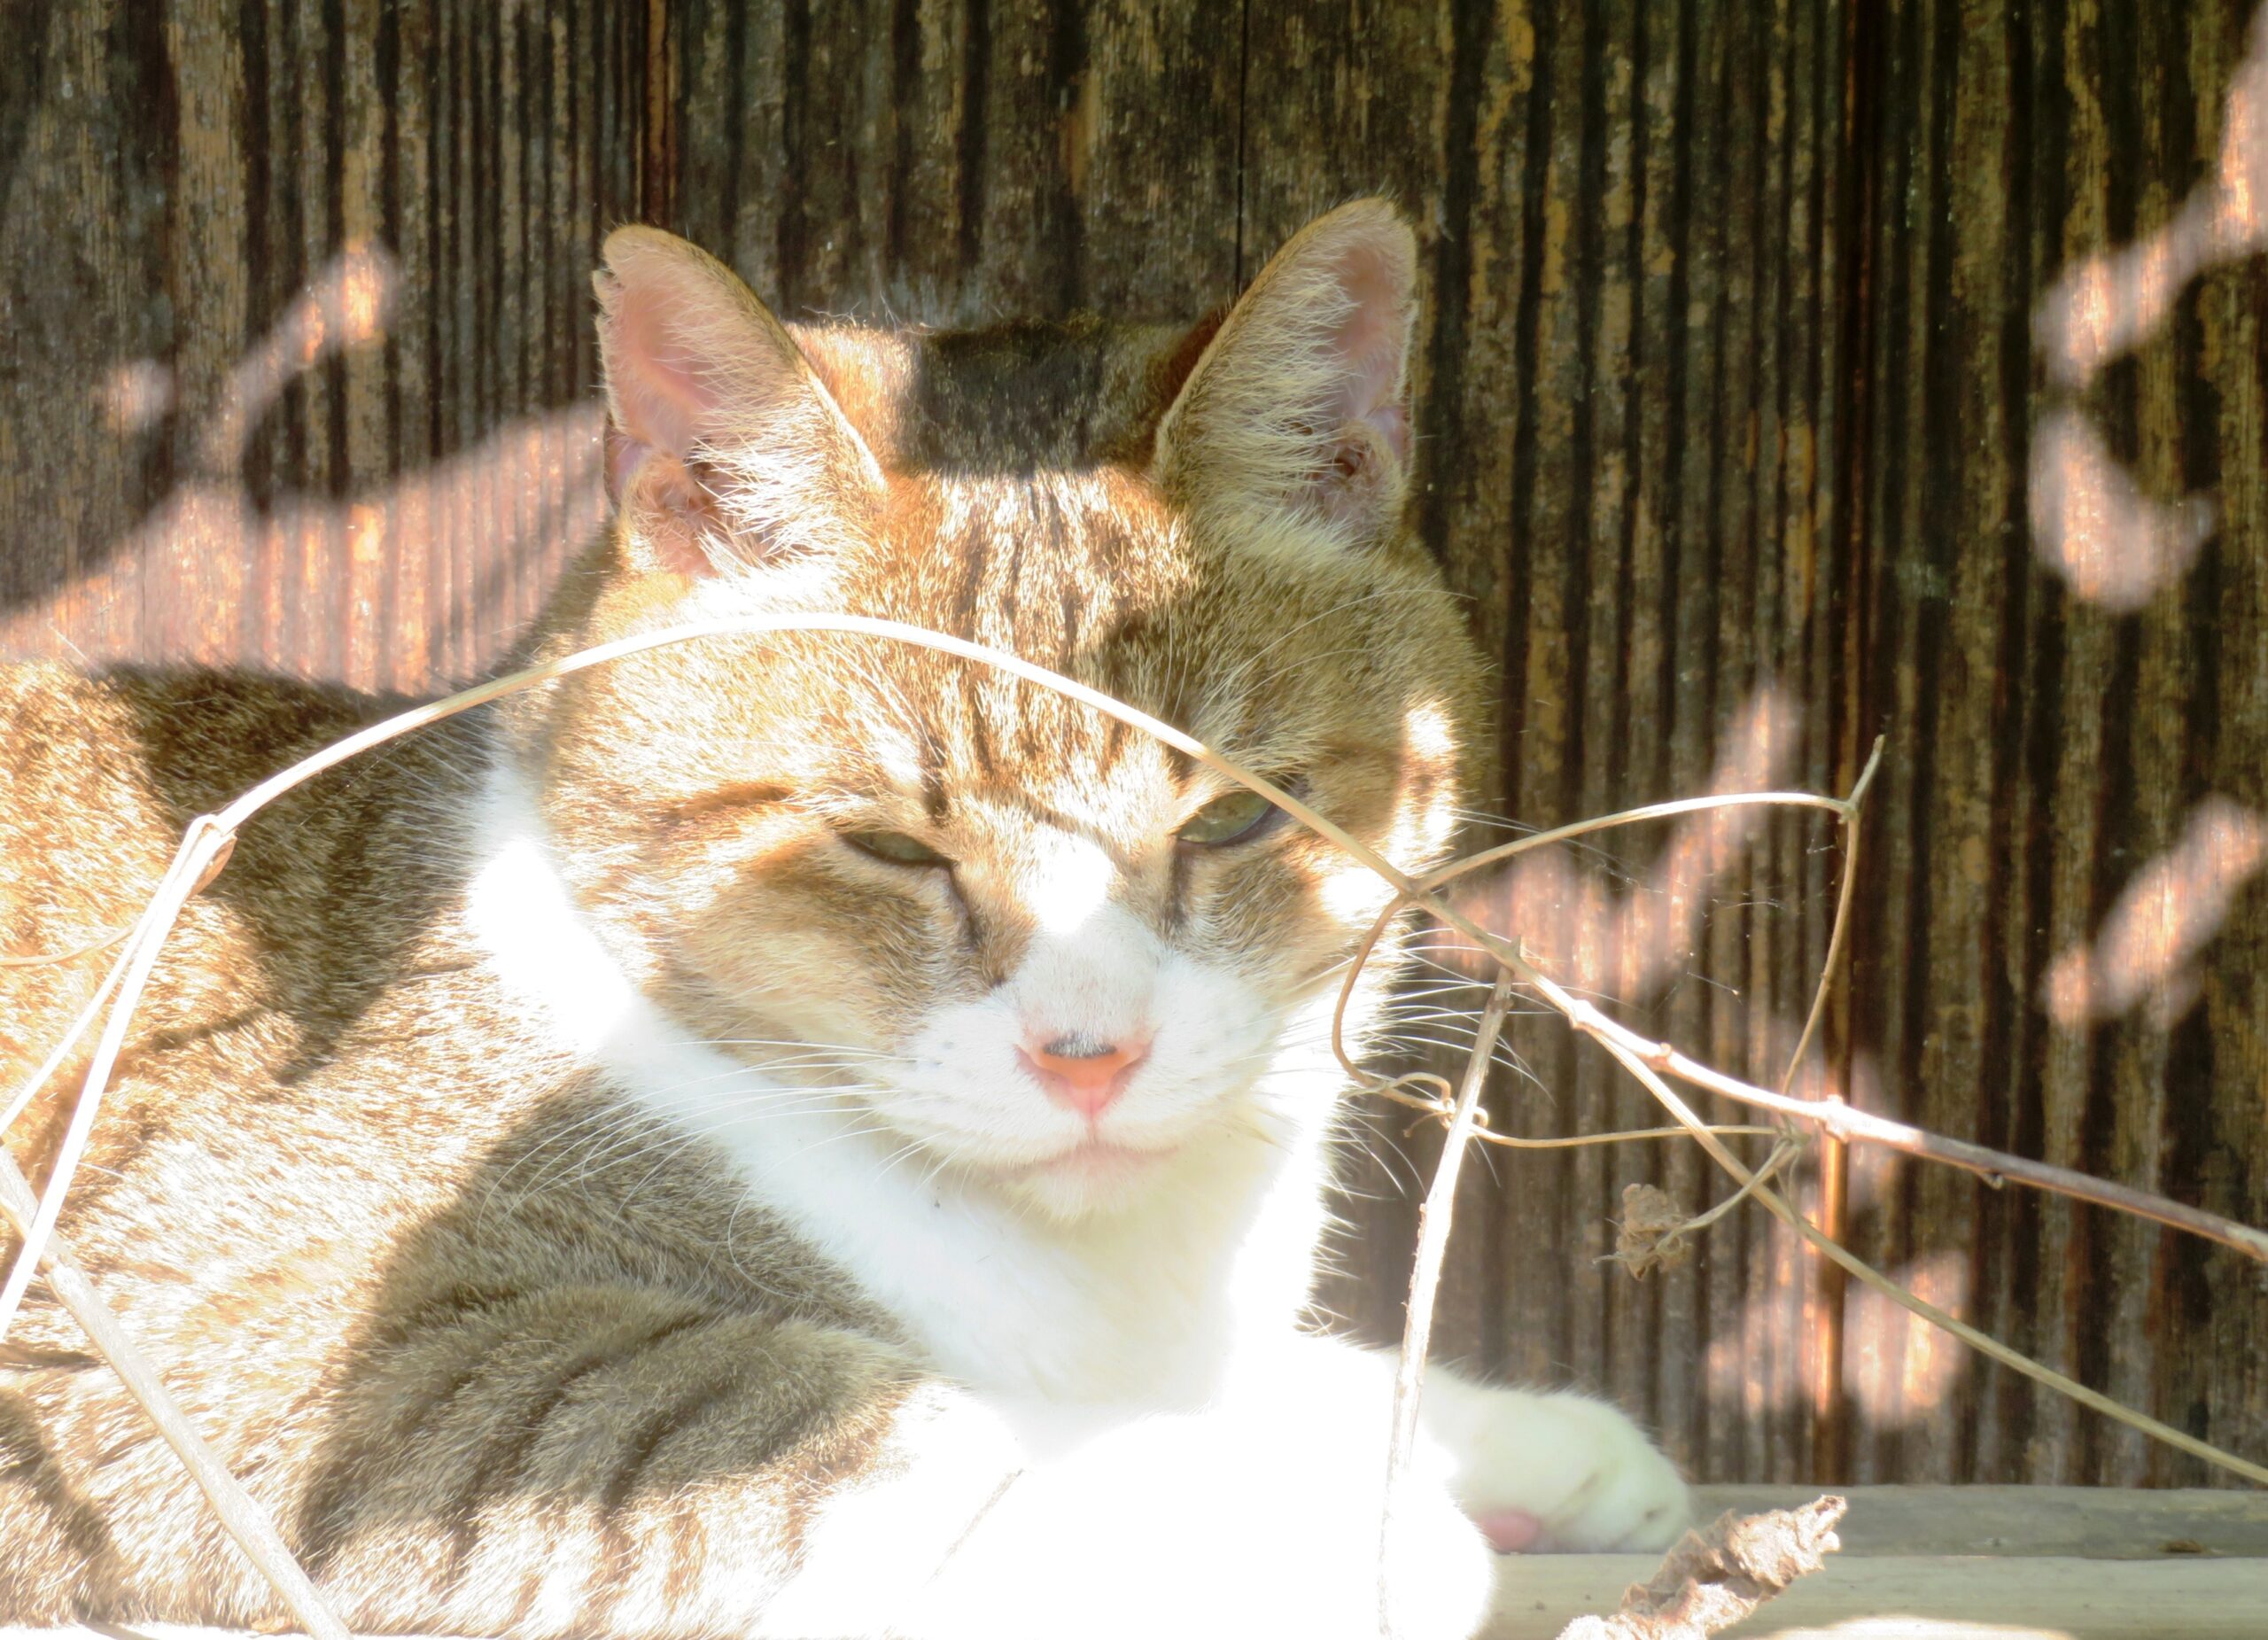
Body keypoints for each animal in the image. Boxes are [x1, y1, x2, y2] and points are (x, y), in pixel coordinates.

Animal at [0, 201, 1696, 1640]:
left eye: (1231, 821)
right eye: (888, 845)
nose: (1092, 1053)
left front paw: (1477, 1434)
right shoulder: (163, 1326)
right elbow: (799, 1413)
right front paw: (1320, 1523)